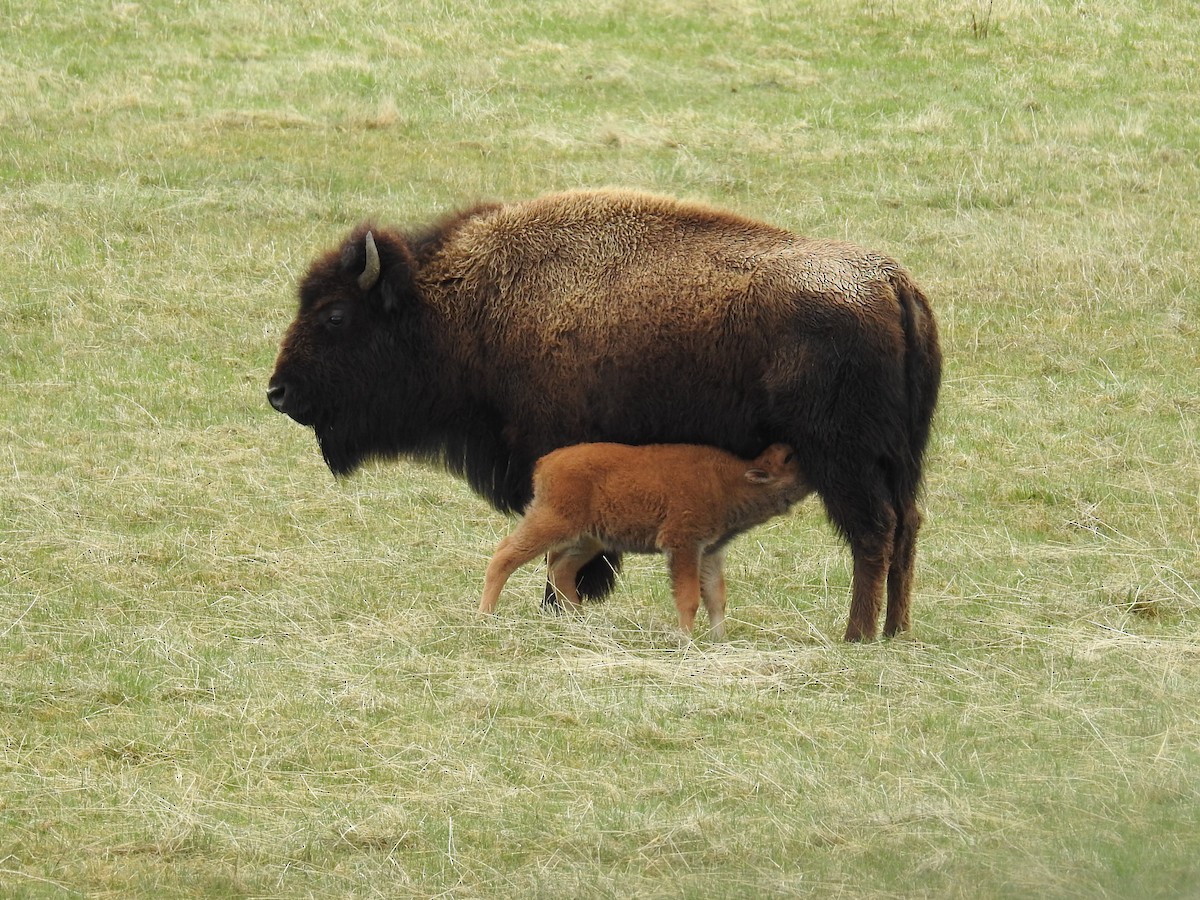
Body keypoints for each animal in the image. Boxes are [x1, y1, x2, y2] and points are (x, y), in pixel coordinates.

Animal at [267, 189, 941, 641]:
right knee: (907, 526)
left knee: (873, 532)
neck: (466, 304)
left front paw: (558, 606)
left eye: (335, 316)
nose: (278, 392)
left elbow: (566, 549)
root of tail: (891, 282)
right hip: (901, 459)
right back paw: (895, 631)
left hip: (843, 459)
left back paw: (855, 635)